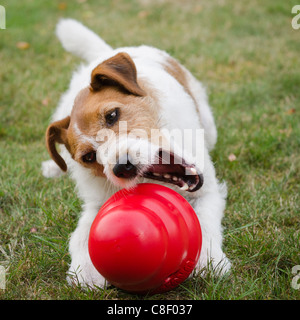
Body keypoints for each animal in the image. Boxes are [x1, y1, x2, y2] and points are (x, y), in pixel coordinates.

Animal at [42, 18, 230, 288]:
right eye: (88, 157)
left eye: (112, 115)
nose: (122, 166)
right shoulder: (98, 203)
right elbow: (82, 232)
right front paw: (85, 271)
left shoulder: (208, 191)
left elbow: (204, 220)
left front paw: (210, 261)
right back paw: (53, 167)